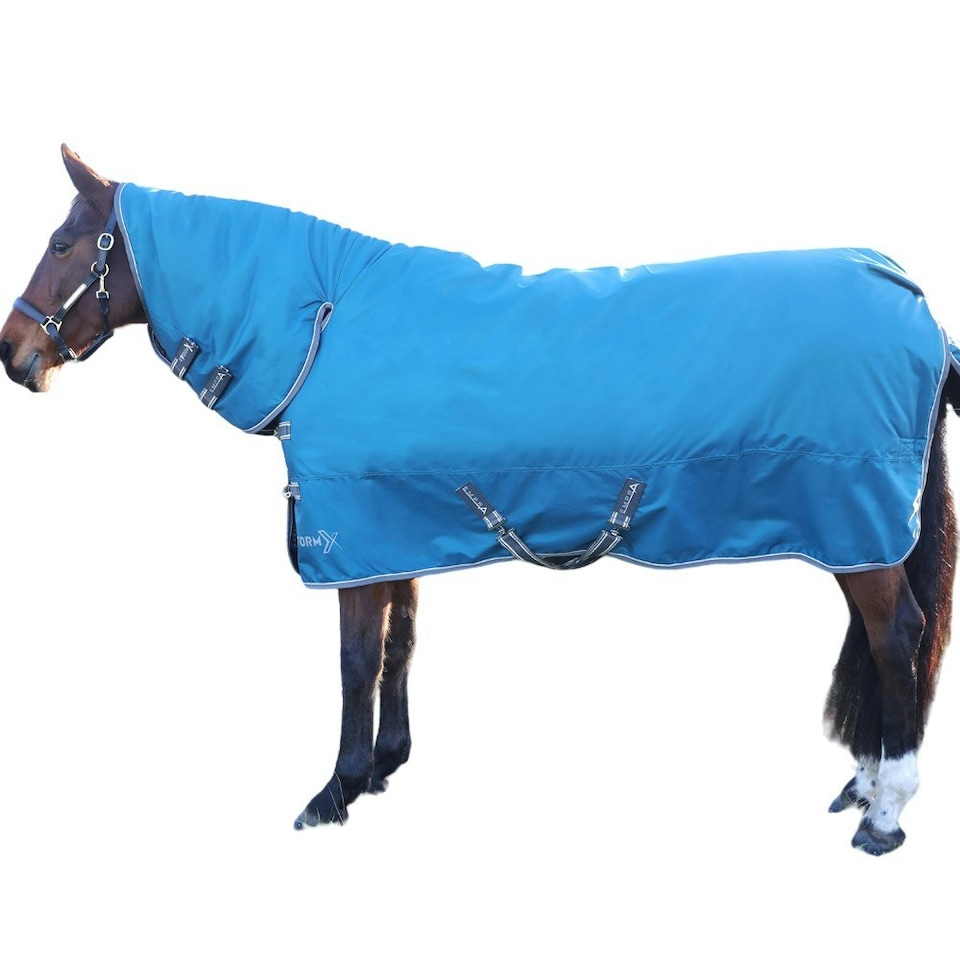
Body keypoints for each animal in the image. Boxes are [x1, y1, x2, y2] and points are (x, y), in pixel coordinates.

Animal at [2, 145, 958, 856]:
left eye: (62, 245)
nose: (16, 355)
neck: (326, 321)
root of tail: (917, 304)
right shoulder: (395, 526)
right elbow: (399, 647)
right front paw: (384, 766)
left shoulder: (353, 533)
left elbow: (355, 660)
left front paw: (334, 791)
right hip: (855, 532)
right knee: (883, 641)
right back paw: (862, 784)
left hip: (857, 522)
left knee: (897, 638)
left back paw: (886, 812)